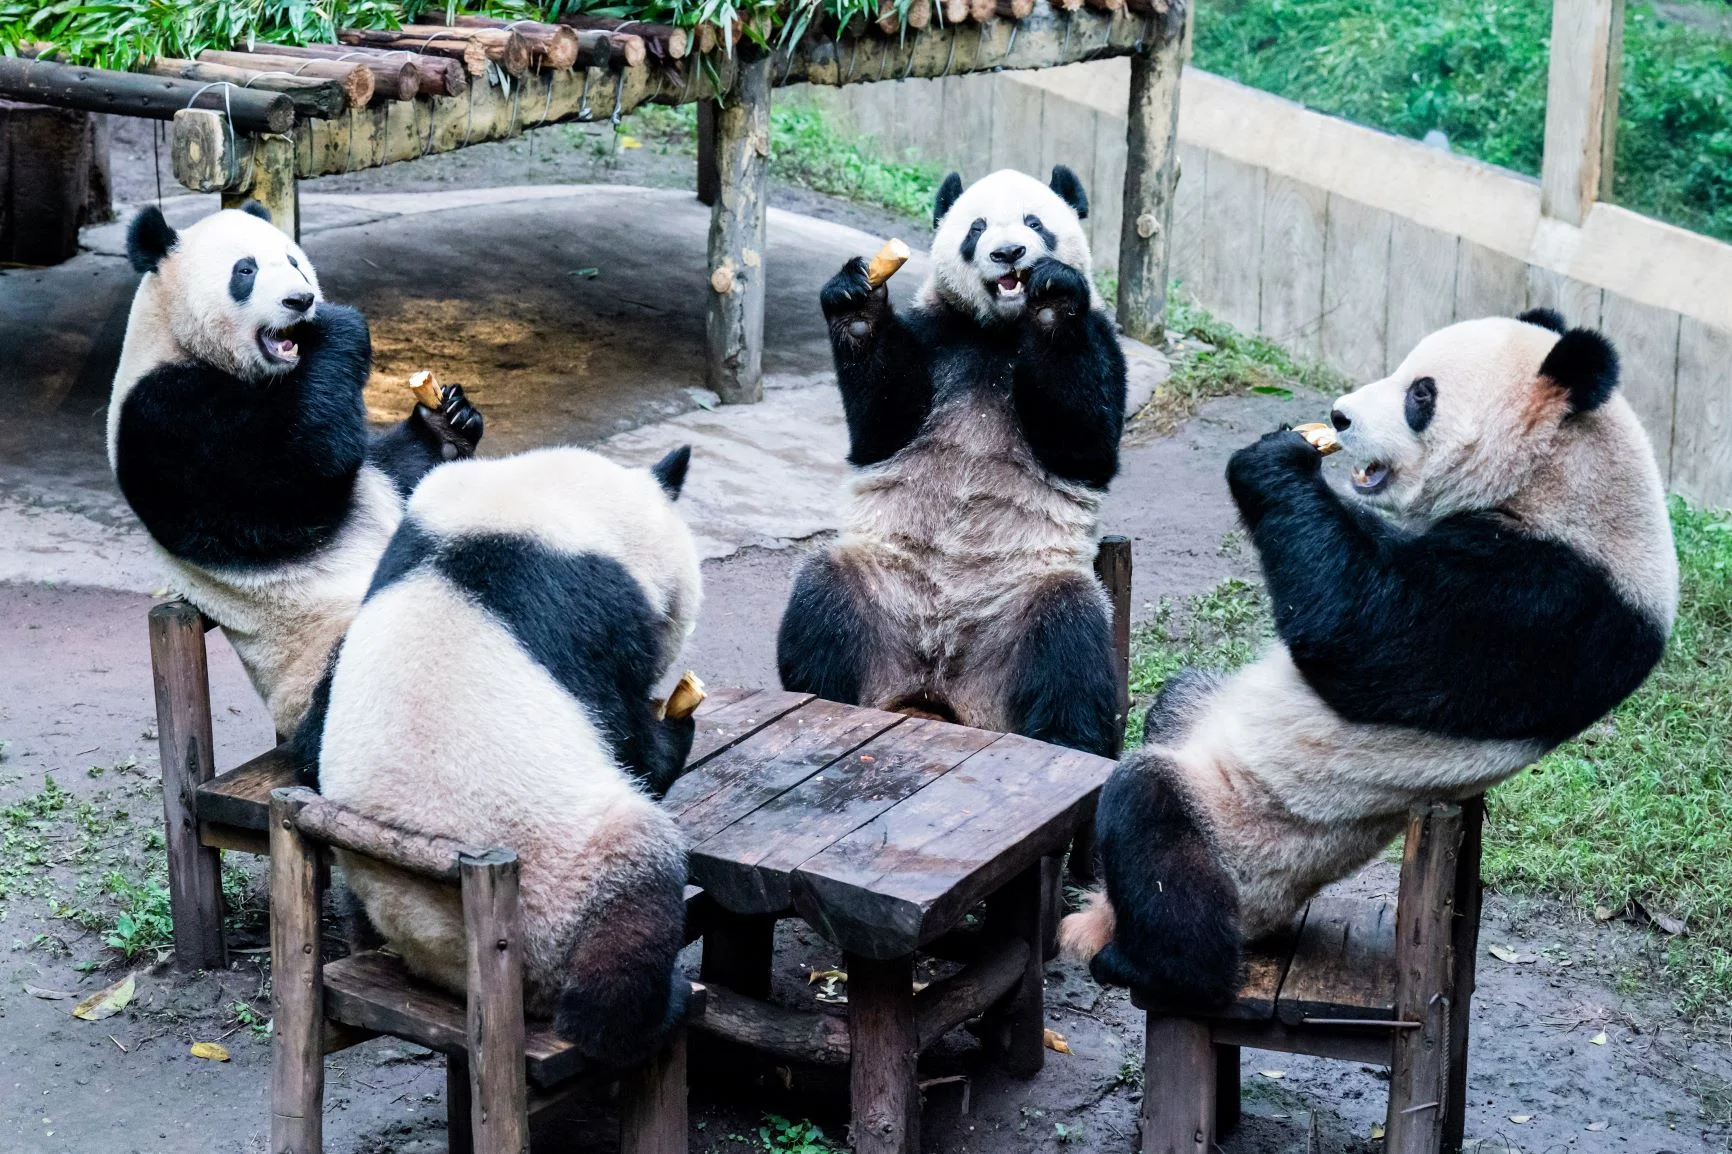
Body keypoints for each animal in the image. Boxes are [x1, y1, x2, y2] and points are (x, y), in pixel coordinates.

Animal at [296, 440, 696, 1060]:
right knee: (635, 891)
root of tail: (449, 958)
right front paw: (676, 730)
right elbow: (627, 737)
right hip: (561, 888)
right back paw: (648, 1010)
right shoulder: (591, 609)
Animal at [779, 163, 1129, 755]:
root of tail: (940, 693)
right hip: (881, 583)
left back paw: (1068, 738)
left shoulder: (1102, 338)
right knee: (823, 599)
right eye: (976, 228)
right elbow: (882, 427)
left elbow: (1086, 445)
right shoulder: (934, 336)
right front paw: (855, 305)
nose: (1009, 253)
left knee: (1069, 640)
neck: (997, 333)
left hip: (1023, 603)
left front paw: (1053, 297)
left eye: (1036, 221)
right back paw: (823, 695)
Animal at [1059, 310, 1683, 1004]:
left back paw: (1148, 964)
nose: (1338, 417)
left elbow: (1361, 630)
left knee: (1156, 827)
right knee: (1182, 697)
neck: (1566, 476)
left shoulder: (1550, 602)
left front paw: (1273, 461)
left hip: (1249, 842)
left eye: (1421, 394)